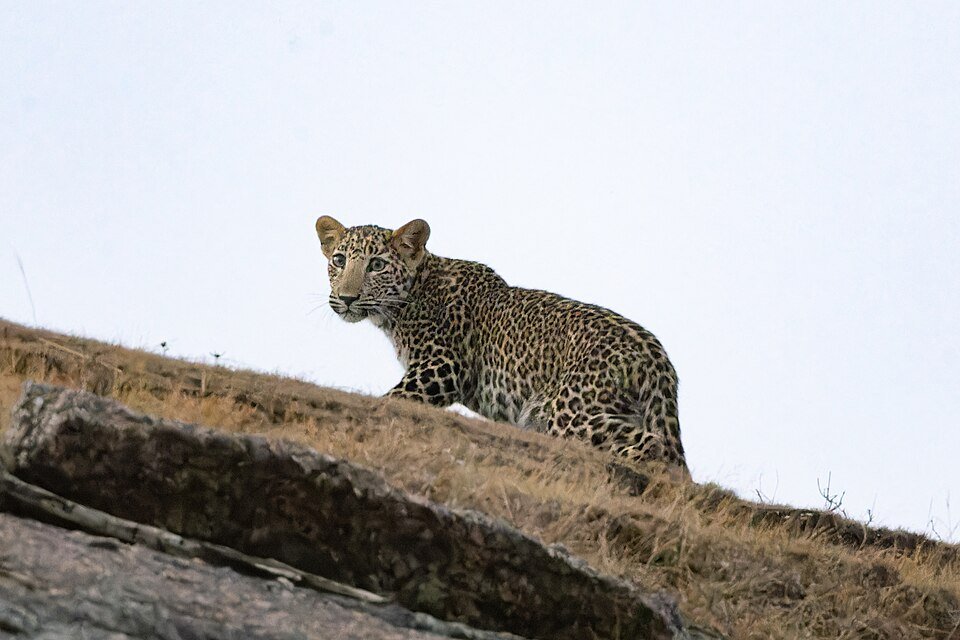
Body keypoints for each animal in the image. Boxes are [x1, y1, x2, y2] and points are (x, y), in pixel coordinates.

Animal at [315, 216, 687, 470]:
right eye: (339, 261)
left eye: (376, 265)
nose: (346, 298)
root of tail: (656, 355)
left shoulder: (443, 367)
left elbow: (395, 399)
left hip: (570, 411)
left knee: (652, 445)